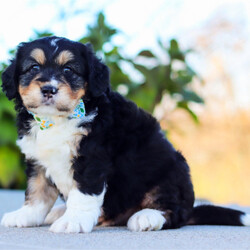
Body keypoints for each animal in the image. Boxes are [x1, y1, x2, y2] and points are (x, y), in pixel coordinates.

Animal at [0, 35, 249, 232]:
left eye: (68, 70)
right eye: (33, 68)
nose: (49, 89)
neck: (56, 120)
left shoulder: (91, 159)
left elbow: (84, 193)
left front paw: (74, 221)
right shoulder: (38, 160)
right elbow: (37, 192)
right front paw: (25, 216)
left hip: (171, 171)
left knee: (174, 213)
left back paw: (147, 216)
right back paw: (61, 211)